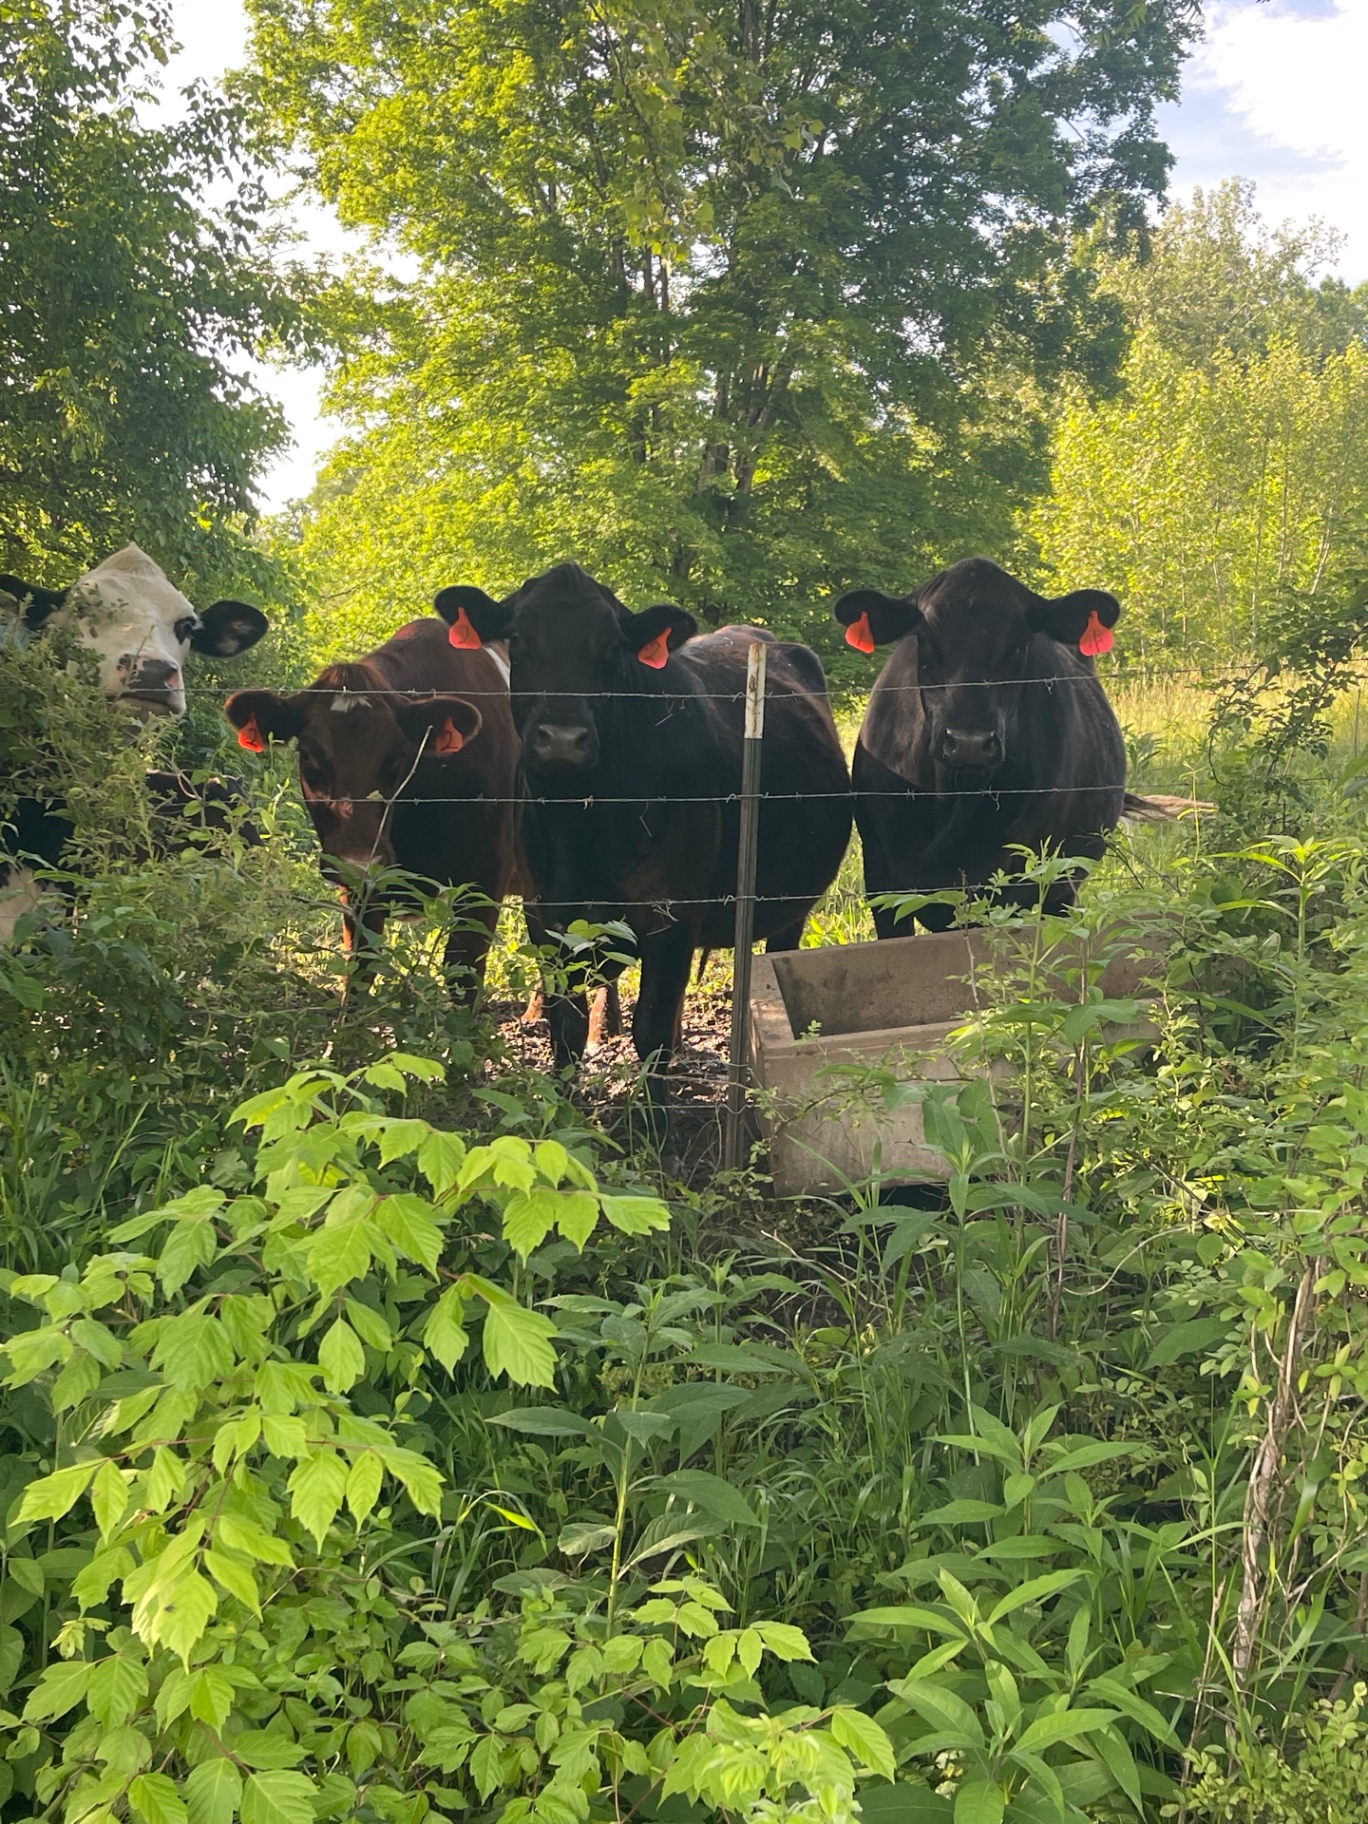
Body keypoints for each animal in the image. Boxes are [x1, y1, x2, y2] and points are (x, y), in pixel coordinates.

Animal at [223, 619, 518, 995]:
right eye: (308, 756)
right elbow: (359, 972)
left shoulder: (486, 879)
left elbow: (462, 977)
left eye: (398, 757)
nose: (358, 863)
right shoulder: (361, 893)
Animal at [432, 561, 853, 1077]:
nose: (562, 738)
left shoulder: (670, 915)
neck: (585, 827)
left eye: (613, 645)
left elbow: (650, 1034)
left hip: (790, 905)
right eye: (517, 637)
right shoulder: (545, 915)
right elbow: (566, 1032)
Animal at [834, 556, 1126, 938]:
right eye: (925, 640)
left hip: (1062, 883)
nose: (968, 743)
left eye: (1020, 644)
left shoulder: (1007, 879)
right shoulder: (882, 878)